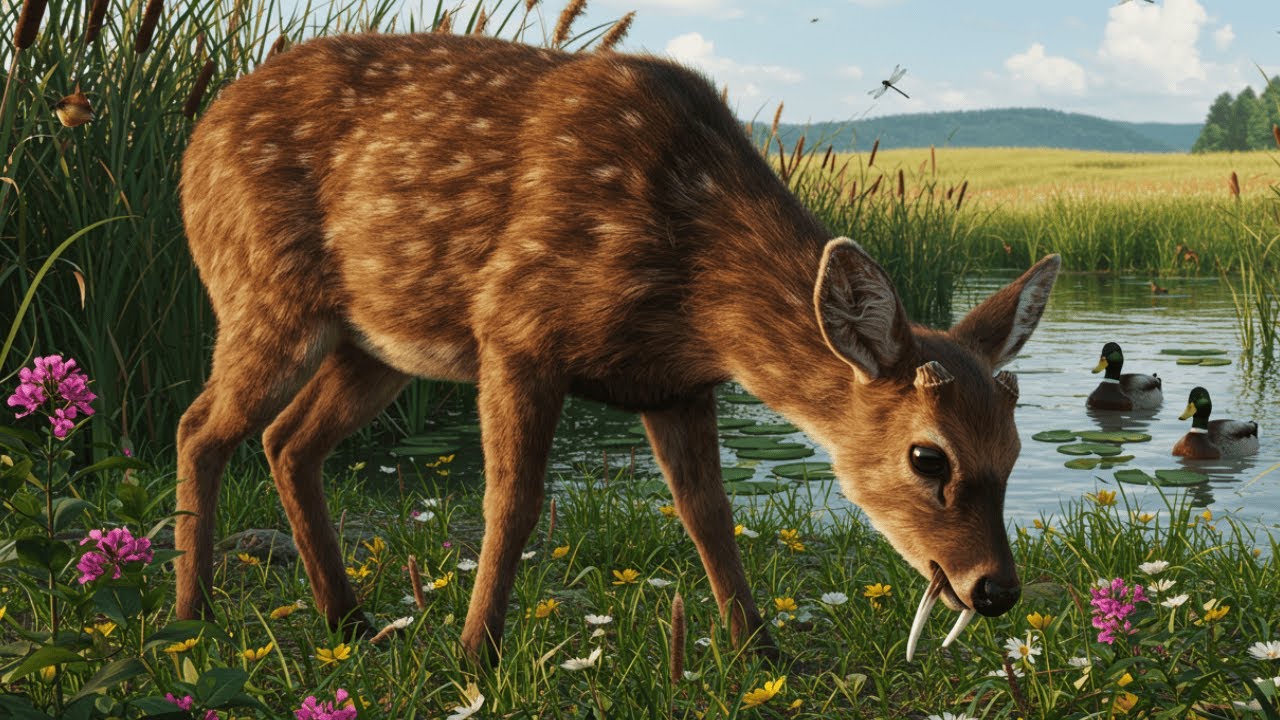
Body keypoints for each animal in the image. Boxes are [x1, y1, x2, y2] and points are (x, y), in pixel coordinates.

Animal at [175, 30, 1061, 665]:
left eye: (1016, 450)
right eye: (928, 457)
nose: (996, 590)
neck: (697, 289)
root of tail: (196, 138)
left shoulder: (676, 385)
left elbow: (710, 514)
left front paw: (761, 650)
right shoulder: (516, 327)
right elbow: (512, 501)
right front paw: (475, 653)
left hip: (378, 348)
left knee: (286, 440)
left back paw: (348, 621)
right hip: (261, 292)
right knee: (201, 427)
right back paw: (193, 615)